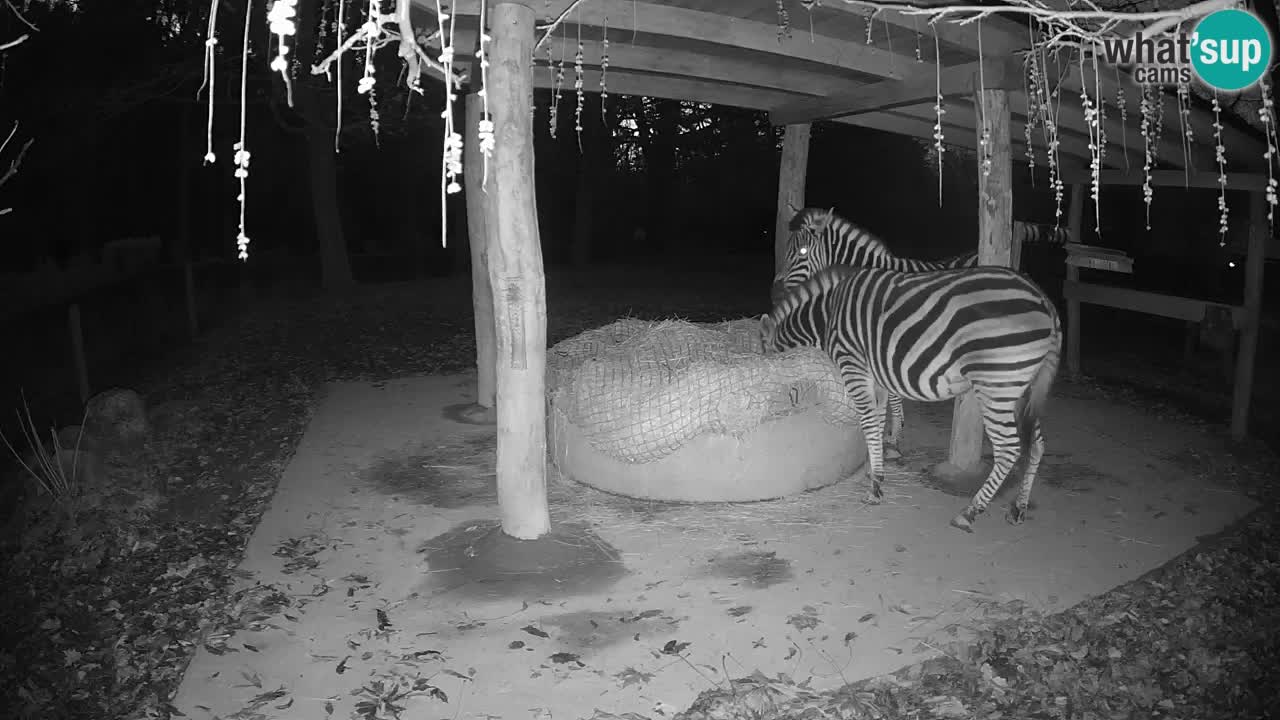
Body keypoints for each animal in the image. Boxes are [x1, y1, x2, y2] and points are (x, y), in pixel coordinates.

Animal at [757, 262, 1059, 527]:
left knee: (1009, 449)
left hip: (997, 386)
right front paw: (875, 471)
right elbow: (878, 423)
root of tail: (1044, 298)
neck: (827, 315)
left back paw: (970, 512)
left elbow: (869, 424)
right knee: (1037, 444)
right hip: (1022, 389)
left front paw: (875, 488)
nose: (783, 402)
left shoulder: (853, 366)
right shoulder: (875, 378)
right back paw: (1018, 507)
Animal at [773, 204, 1075, 456]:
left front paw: (893, 438)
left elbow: (892, 393)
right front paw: (892, 433)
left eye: (801, 253)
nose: (777, 292)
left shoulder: (884, 340)